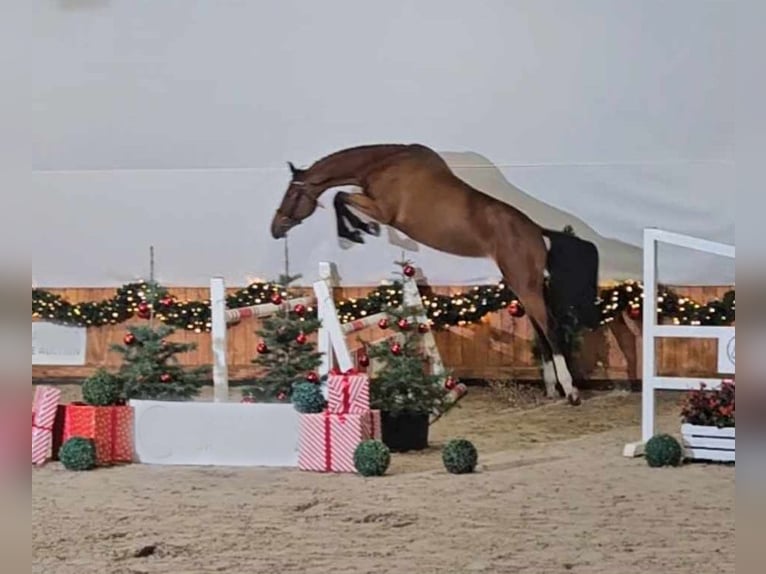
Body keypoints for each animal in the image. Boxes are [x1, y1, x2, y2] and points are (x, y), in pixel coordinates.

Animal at [272, 144, 604, 404]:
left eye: (290, 194)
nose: (275, 229)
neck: (383, 163)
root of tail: (538, 232)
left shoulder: (383, 210)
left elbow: (340, 197)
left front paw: (357, 231)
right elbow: (341, 197)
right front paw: (359, 230)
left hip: (527, 286)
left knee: (551, 329)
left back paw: (571, 391)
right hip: (523, 286)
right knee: (541, 332)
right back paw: (551, 389)